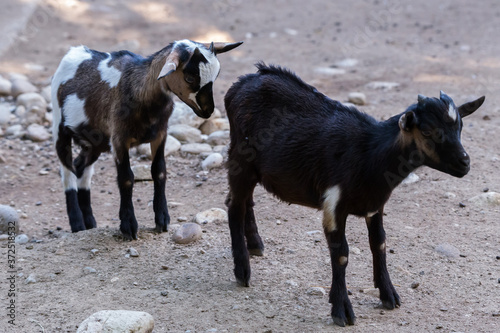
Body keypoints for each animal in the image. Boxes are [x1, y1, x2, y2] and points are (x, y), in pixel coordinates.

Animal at [52, 40, 242, 240]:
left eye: (216, 75)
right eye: (190, 78)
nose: (208, 111)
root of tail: (75, 51)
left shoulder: (160, 135)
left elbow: (159, 171)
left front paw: (162, 220)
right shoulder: (119, 138)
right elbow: (126, 178)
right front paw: (128, 226)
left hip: (96, 141)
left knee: (81, 166)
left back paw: (89, 223)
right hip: (59, 128)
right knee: (67, 170)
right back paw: (77, 224)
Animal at [225, 63, 486, 326]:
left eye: (460, 127)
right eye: (427, 132)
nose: (464, 163)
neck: (370, 154)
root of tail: (243, 82)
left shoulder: (375, 204)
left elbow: (379, 243)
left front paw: (389, 294)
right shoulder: (333, 205)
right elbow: (341, 254)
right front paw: (341, 310)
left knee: (246, 201)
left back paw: (255, 244)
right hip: (240, 160)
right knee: (234, 206)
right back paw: (242, 271)